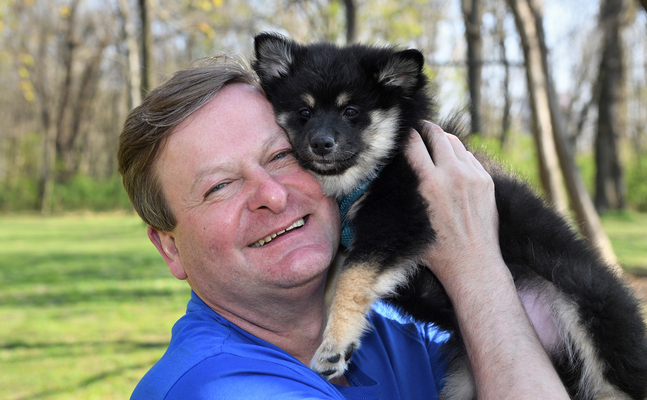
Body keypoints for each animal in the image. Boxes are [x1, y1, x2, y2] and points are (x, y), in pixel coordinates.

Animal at [252, 32, 647, 398]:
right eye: (304, 112)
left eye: (351, 112)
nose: (320, 144)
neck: (378, 165)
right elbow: (334, 280)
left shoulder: (402, 218)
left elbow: (352, 279)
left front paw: (334, 344)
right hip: (464, 381)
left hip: (593, 314)